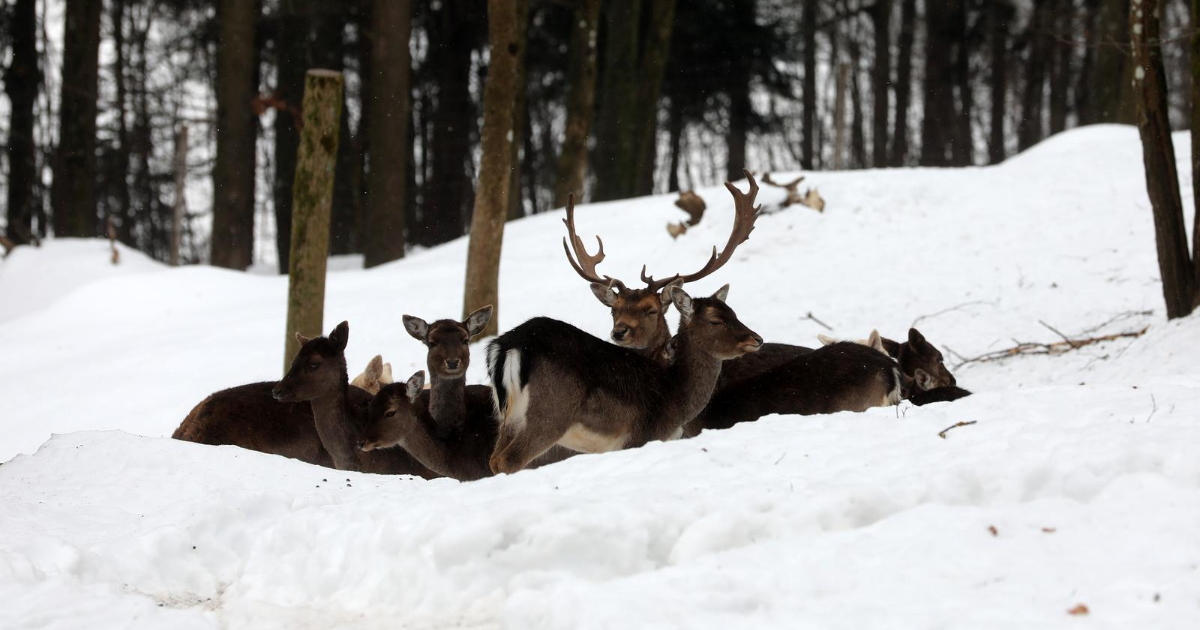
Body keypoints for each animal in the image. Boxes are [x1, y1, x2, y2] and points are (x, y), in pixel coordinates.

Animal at [484, 282, 758, 475]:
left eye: (734, 313)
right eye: (715, 321)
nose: (757, 338)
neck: (676, 394)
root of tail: (507, 346)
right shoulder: (640, 437)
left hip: (509, 418)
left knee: (494, 459)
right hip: (550, 413)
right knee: (509, 460)